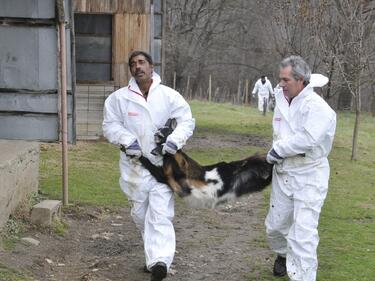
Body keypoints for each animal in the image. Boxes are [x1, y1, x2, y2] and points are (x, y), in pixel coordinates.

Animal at [138, 119, 274, 207]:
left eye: (166, 131)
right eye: (158, 129)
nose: (156, 134)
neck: (168, 159)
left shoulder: (182, 167)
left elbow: (175, 152)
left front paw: (160, 148)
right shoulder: (164, 177)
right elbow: (148, 162)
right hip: (250, 182)